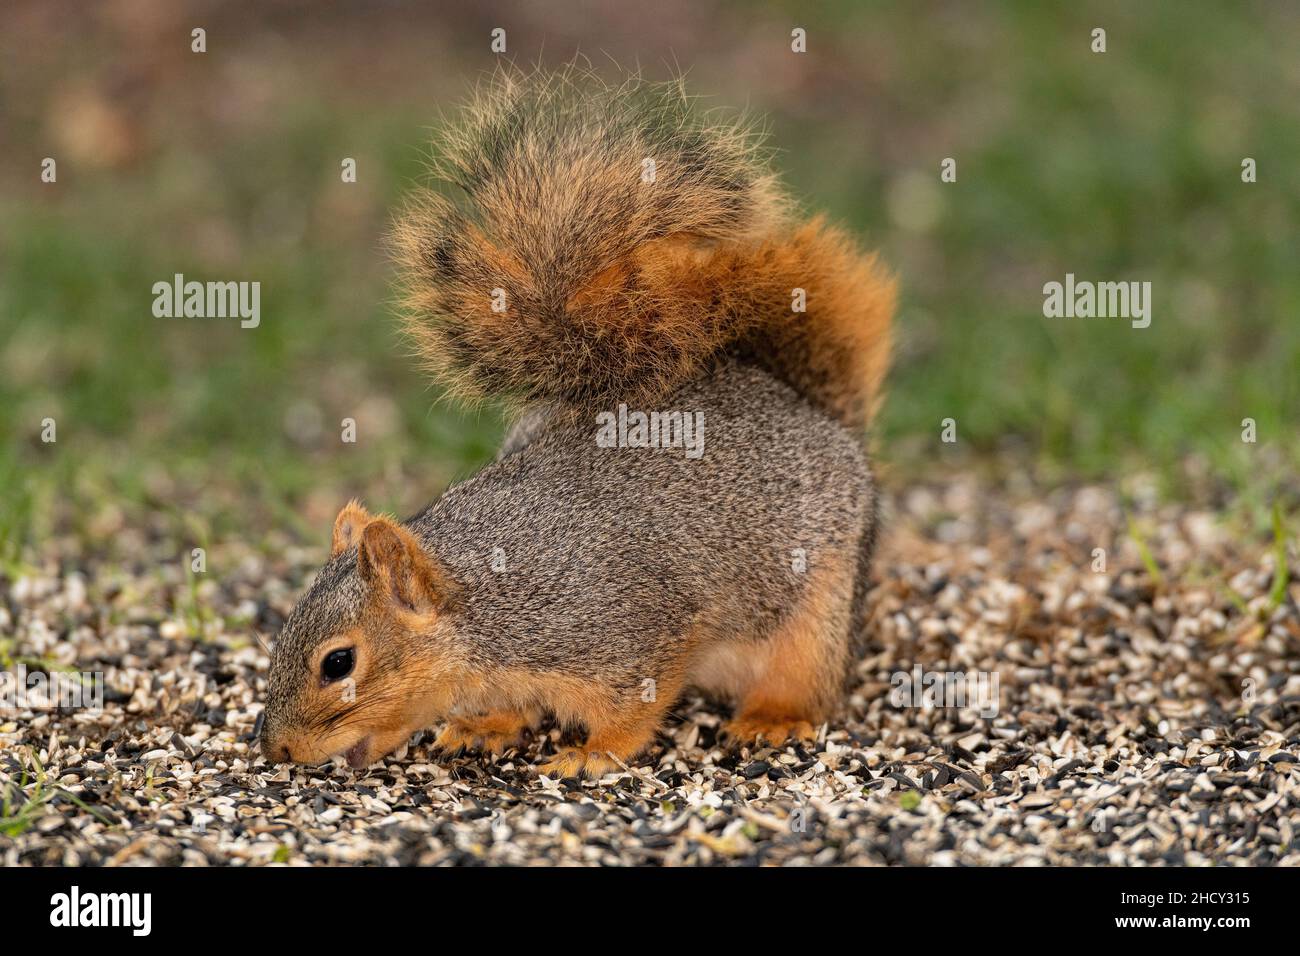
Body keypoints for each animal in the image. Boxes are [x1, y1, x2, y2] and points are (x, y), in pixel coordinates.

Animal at [260, 68, 895, 778]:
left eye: (338, 662)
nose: (274, 748)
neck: (483, 605)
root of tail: (809, 407)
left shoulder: (630, 633)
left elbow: (632, 711)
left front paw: (590, 755)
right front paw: (483, 725)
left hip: (819, 608)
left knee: (806, 682)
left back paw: (772, 718)